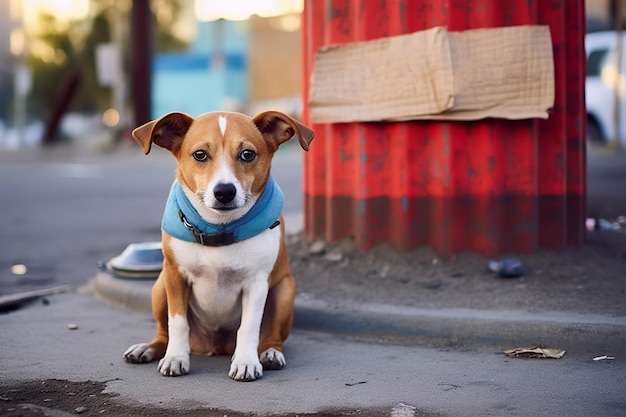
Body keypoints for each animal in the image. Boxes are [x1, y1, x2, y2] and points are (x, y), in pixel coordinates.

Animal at [122, 110, 314, 380]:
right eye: (200, 155)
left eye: (247, 154)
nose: (224, 191)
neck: (218, 229)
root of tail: (215, 345)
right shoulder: (174, 275)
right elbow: (177, 322)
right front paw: (176, 358)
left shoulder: (257, 282)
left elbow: (249, 326)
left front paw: (246, 361)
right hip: (159, 287)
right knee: (163, 333)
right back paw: (149, 348)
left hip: (285, 289)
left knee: (272, 335)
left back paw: (270, 353)